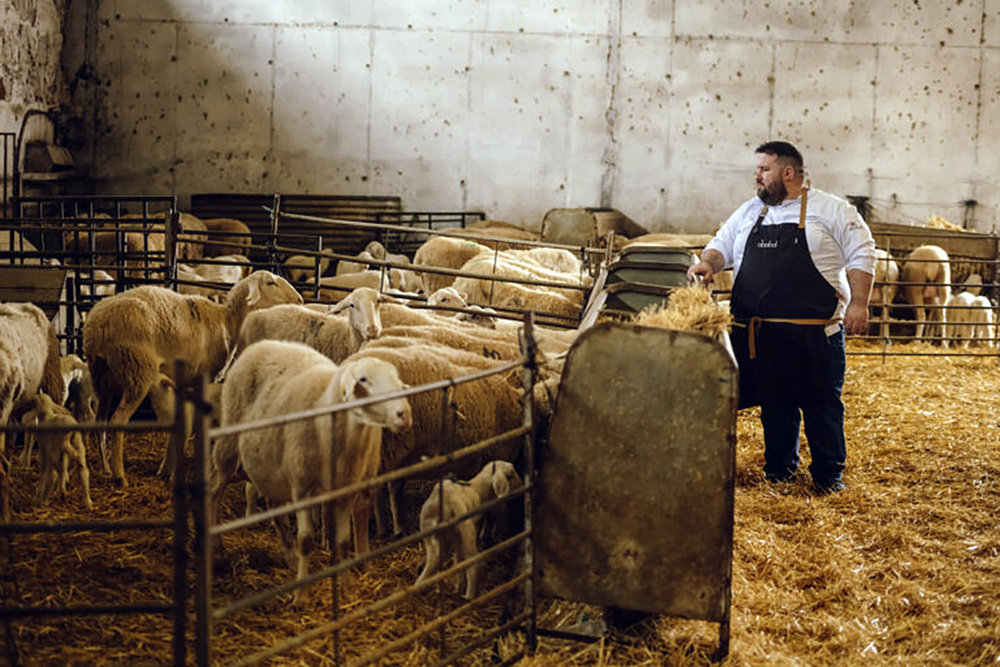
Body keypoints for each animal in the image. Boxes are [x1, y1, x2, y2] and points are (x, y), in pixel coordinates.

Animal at [84, 270, 302, 486]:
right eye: (270, 282)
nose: (299, 300)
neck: (229, 321)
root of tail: (97, 326)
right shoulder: (204, 377)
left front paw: (166, 467)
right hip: (137, 371)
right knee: (117, 421)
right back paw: (119, 475)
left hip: (101, 379)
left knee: (99, 420)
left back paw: (104, 467)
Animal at [211, 340, 414, 596]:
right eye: (363, 379)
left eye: (397, 380)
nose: (404, 415)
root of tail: (262, 344)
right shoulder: (303, 488)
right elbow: (306, 540)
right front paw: (302, 595)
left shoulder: (344, 490)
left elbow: (343, 543)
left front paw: (346, 589)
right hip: (229, 441)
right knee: (215, 489)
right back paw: (217, 550)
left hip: (271, 465)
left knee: (274, 508)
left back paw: (290, 558)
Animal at [414, 460, 524, 600]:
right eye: (510, 475)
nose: (522, 484)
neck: (478, 490)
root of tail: (445, 504)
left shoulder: (456, 537)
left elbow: (457, 560)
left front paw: (458, 587)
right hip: (468, 531)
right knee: (473, 562)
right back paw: (469, 597)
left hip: (429, 532)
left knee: (434, 560)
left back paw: (419, 586)